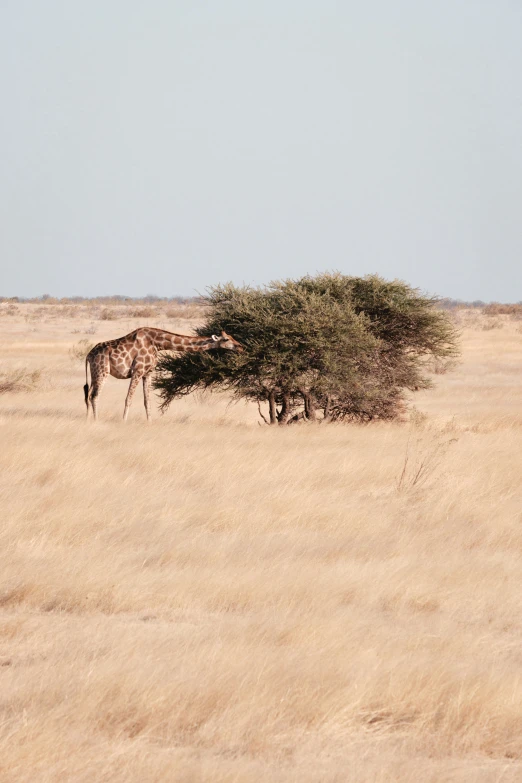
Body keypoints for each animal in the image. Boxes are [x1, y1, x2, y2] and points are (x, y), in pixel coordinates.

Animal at [83, 326, 242, 422]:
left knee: (88, 395)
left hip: (94, 373)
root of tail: (88, 355)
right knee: (95, 396)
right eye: (226, 339)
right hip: (102, 371)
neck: (157, 343)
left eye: (232, 336)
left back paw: (88, 419)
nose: (240, 347)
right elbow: (128, 399)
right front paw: (124, 422)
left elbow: (147, 401)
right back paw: (96, 421)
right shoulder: (137, 371)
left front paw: (149, 422)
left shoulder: (147, 373)